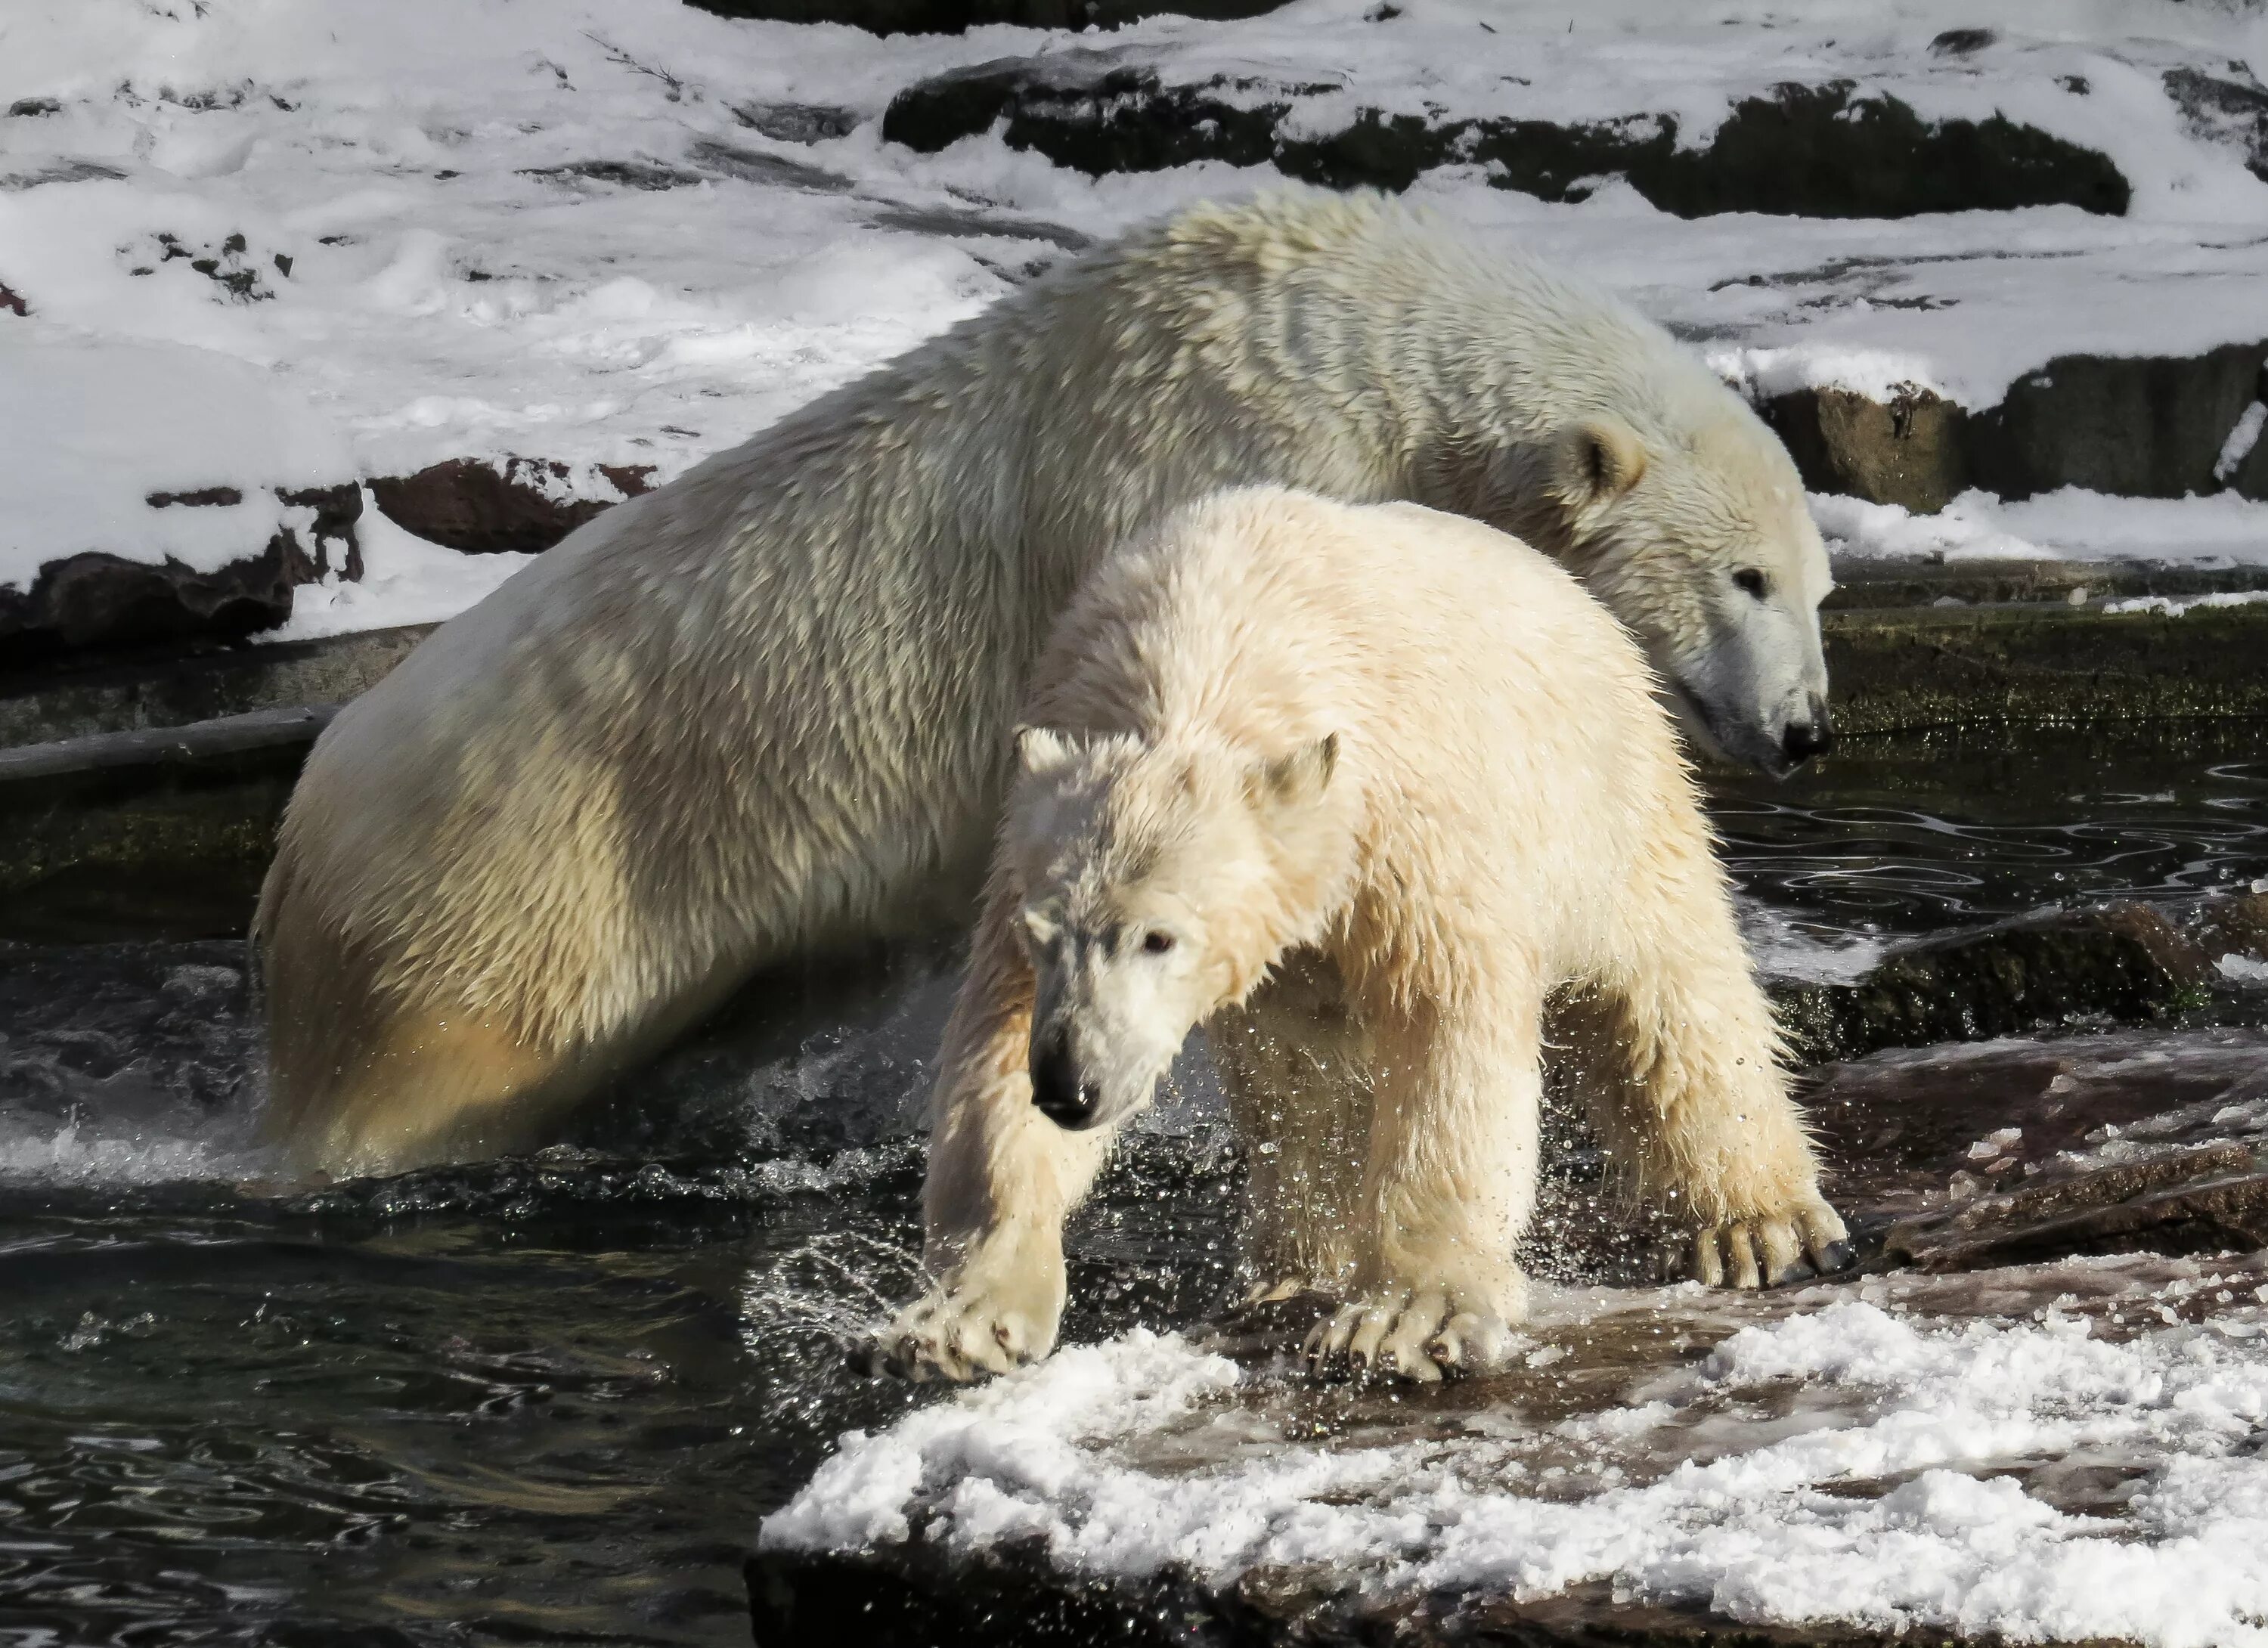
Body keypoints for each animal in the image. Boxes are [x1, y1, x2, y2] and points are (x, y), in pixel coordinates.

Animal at [257, 187, 1833, 1179]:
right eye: (1743, 580)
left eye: (1816, 585)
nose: (1809, 729)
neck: (1345, 351)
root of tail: (298, 836)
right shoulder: (1211, 467)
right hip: (514, 898)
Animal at [866, 487, 1842, 1378]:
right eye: (1046, 933)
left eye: (1159, 938)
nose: (1072, 1086)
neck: (1204, 642)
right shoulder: (1030, 845)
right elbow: (995, 1052)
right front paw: (960, 1319)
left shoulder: (1406, 818)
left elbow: (1450, 1027)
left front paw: (1404, 1319)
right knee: (1301, 1090)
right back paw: (1291, 1271)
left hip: (1610, 803)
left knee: (1671, 1000)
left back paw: (1766, 1226)